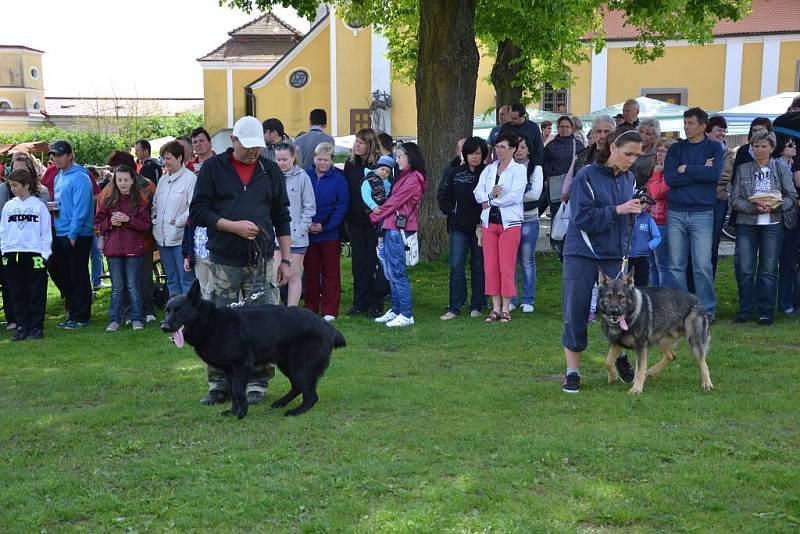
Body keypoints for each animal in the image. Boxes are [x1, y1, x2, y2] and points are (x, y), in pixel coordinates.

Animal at [161, 280, 346, 418]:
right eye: (167, 311)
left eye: (179, 311)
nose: (164, 327)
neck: (211, 323)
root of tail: (328, 327)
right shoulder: (230, 370)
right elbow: (234, 390)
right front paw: (234, 411)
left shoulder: (243, 364)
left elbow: (237, 389)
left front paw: (242, 412)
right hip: (288, 365)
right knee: (297, 387)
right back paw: (280, 403)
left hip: (300, 366)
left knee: (311, 395)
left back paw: (296, 411)